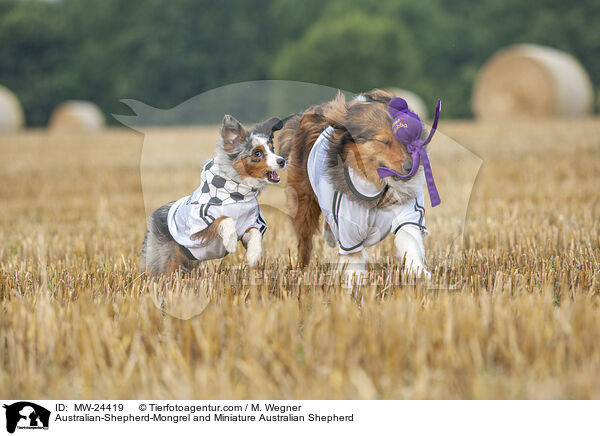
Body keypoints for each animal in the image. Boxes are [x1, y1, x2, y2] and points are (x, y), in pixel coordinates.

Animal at [144, 114, 288, 274]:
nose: (282, 161)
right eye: (257, 153)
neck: (237, 195)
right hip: (167, 260)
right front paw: (230, 242)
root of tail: (155, 215)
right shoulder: (198, 226)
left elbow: (255, 232)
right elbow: (224, 218)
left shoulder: (251, 223)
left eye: (272, 149)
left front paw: (253, 255)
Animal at [278, 88, 428, 282]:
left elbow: (410, 244)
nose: (411, 168)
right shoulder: (349, 228)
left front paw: (420, 273)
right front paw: (354, 283)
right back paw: (299, 270)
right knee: (304, 240)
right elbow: (353, 262)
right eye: (384, 141)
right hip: (304, 203)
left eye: (407, 138)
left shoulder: (409, 215)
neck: (378, 188)